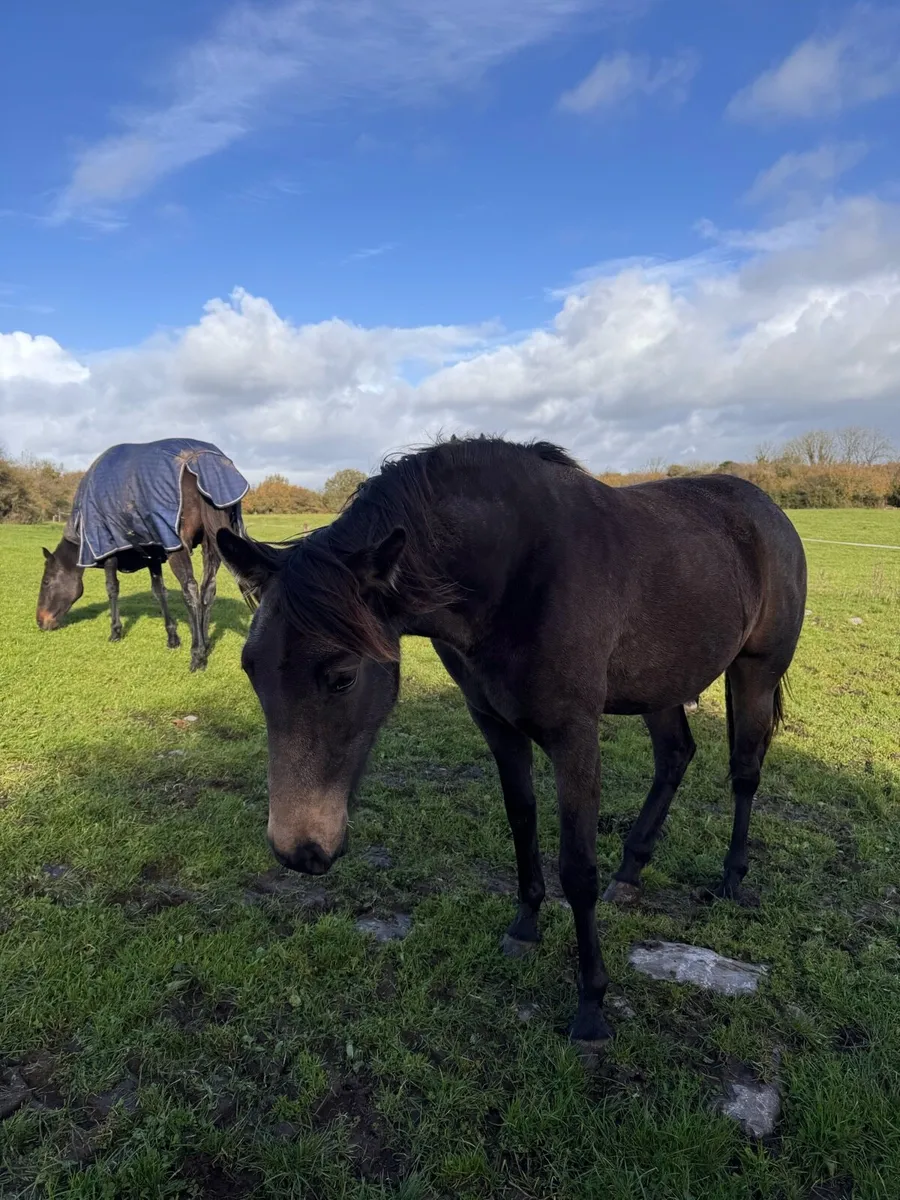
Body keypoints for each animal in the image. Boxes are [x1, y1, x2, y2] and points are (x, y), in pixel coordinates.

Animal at [37, 438, 249, 672]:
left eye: (46, 582)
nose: (40, 621)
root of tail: (204, 461)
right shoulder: (152, 553)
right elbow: (159, 592)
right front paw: (172, 637)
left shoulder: (109, 549)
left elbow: (112, 588)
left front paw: (115, 631)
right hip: (211, 544)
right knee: (208, 589)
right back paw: (205, 641)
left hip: (177, 546)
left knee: (191, 590)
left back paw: (197, 654)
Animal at [216, 436, 807, 1044]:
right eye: (250, 669)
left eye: (342, 677)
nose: (298, 850)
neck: (513, 575)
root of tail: (768, 509)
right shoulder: (496, 725)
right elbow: (522, 821)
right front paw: (525, 926)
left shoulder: (575, 736)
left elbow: (577, 867)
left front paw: (591, 1005)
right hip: (661, 684)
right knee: (675, 756)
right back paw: (631, 872)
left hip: (755, 671)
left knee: (744, 771)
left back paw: (732, 878)